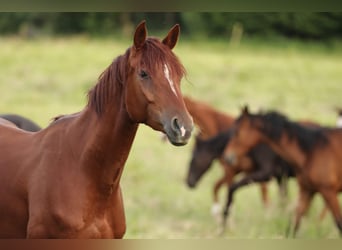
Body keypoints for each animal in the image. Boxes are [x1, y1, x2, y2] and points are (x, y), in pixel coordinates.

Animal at [224, 106, 342, 236]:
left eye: (236, 131)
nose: (228, 156)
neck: (311, 152)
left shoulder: (328, 191)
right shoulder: (307, 191)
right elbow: (293, 225)